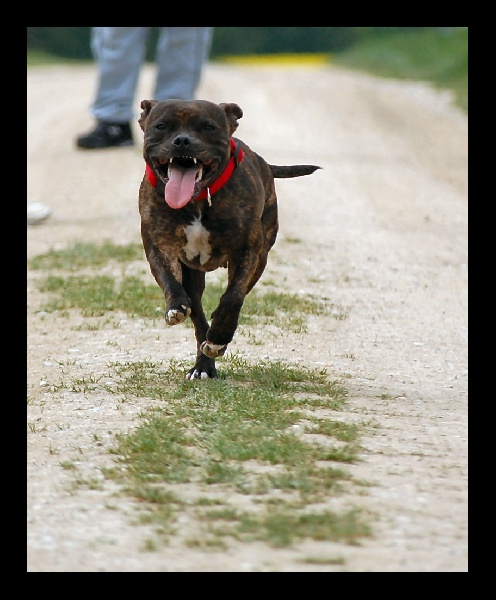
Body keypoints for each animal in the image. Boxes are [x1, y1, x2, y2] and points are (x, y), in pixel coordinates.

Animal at [139, 99, 322, 380]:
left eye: (208, 127)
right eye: (161, 126)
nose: (182, 141)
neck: (198, 199)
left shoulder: (248, 251)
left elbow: (233, 297)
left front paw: (220, 336)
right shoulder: (158, 243)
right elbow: (169, 279)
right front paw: (176, 306)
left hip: (260, 256)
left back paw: (214, 342)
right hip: (193, 275)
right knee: (197, 313)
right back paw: (203, 365)